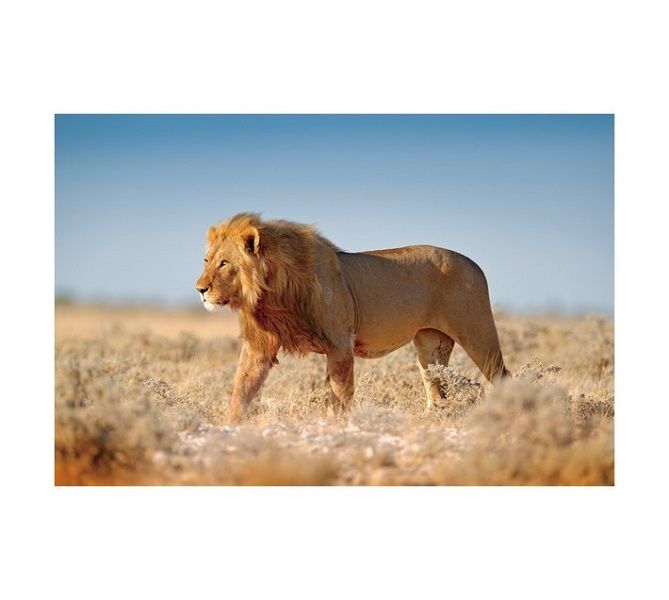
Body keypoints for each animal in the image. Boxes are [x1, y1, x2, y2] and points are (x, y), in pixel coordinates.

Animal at [196, 213, 509, 422]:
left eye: (224, 263)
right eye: (207, 261)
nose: (200, 289)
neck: (271, 293)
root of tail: (475, 264)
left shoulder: (340, 345)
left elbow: (339, 393)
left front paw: (338, 426)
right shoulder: (259, 346)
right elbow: (241, 389)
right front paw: (228, 428)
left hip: (478, 334)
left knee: (502, 376)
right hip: (430, 346)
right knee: (436, 389)